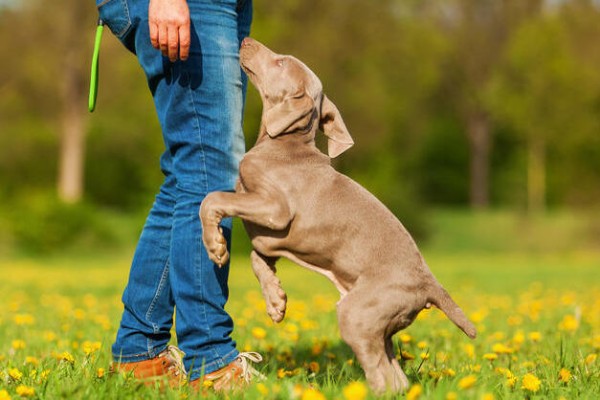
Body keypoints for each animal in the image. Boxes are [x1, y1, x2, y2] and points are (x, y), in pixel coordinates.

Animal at [199, 37, 476, 394]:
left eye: (280, 61)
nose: (245, 40)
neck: (283, 143)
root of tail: (429, 284)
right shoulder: (268, 233)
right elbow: (258, 258)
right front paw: (275, 301)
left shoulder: (276, 210)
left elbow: (212, 199)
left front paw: (215, 247)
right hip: (380, 322)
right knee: (396, 376)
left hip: (357, 314)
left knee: (381, 374)